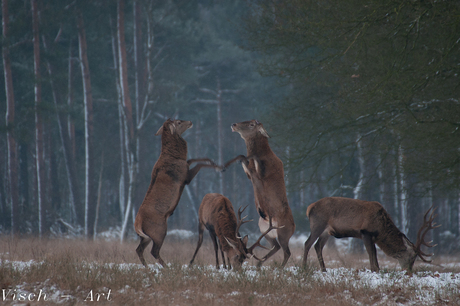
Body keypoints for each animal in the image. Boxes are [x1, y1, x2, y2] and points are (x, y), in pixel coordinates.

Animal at [134, 118, 220, 266]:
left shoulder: (186, 164)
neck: (175, 156)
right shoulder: (185, 178)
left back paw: (146, 266)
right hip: (159, 230)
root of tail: (137, 224)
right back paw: (166, 266)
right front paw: (218, 166)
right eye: (178, 122)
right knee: (154, 251)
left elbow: (193, 159)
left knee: (139, 249)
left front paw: (212, 161)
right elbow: (199, 164)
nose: (190, 121)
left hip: (146, 237)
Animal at [223, 119, 294, 268]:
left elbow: (251, 158)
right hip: (264, 230)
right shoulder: (249, 174)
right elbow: (242, 157)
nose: (234, 124)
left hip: (283, 232)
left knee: (287, 251)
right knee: (275, 247)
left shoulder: (263, 173)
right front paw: (227, 164)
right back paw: (258, 265)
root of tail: (294, 228)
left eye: (252, 124)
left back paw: (278, 268)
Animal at [304, 197, 440, 274]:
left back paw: (324, 269)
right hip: (318, 225)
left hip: (326, 232)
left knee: (317, 246)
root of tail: (309, 208)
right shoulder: (365, 232)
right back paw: (304, 267)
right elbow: (370, 252)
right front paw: (373, 270)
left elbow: (374, 253)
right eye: (412, 257)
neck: (380, 228)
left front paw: (377, 270)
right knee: (307, 243)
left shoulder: (373, 238)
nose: (409, 271)